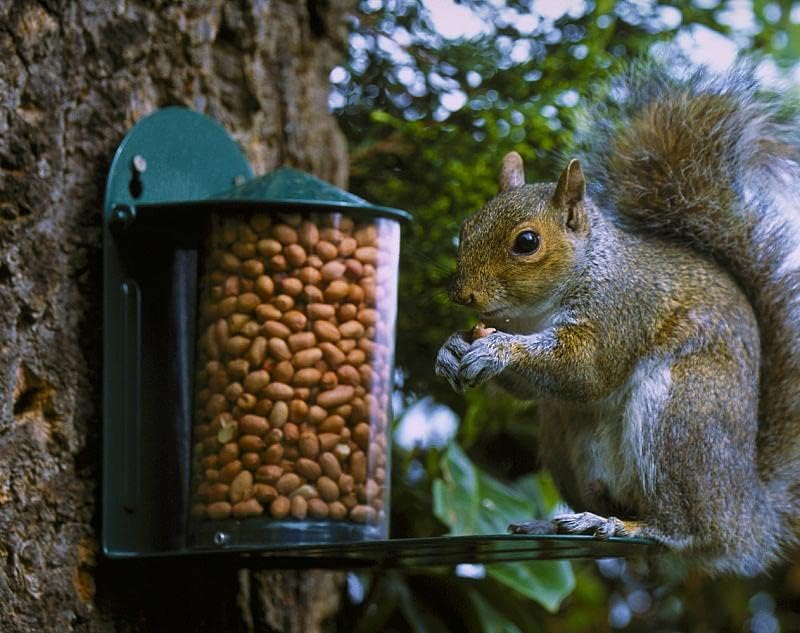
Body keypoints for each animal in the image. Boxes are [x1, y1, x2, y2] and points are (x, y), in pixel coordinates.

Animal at [434, 61, 800, 576]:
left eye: (526, 242)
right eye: (465, 228)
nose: (463, 294)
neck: (536, 312)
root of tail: (744, 516)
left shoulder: (621, 308)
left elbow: (587, 369)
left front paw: (498, 349)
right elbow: (529, 387)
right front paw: (450, 348)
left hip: (680, 419)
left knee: (681, 530)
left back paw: (628, 527)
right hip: (563, 437)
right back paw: (574, 522)